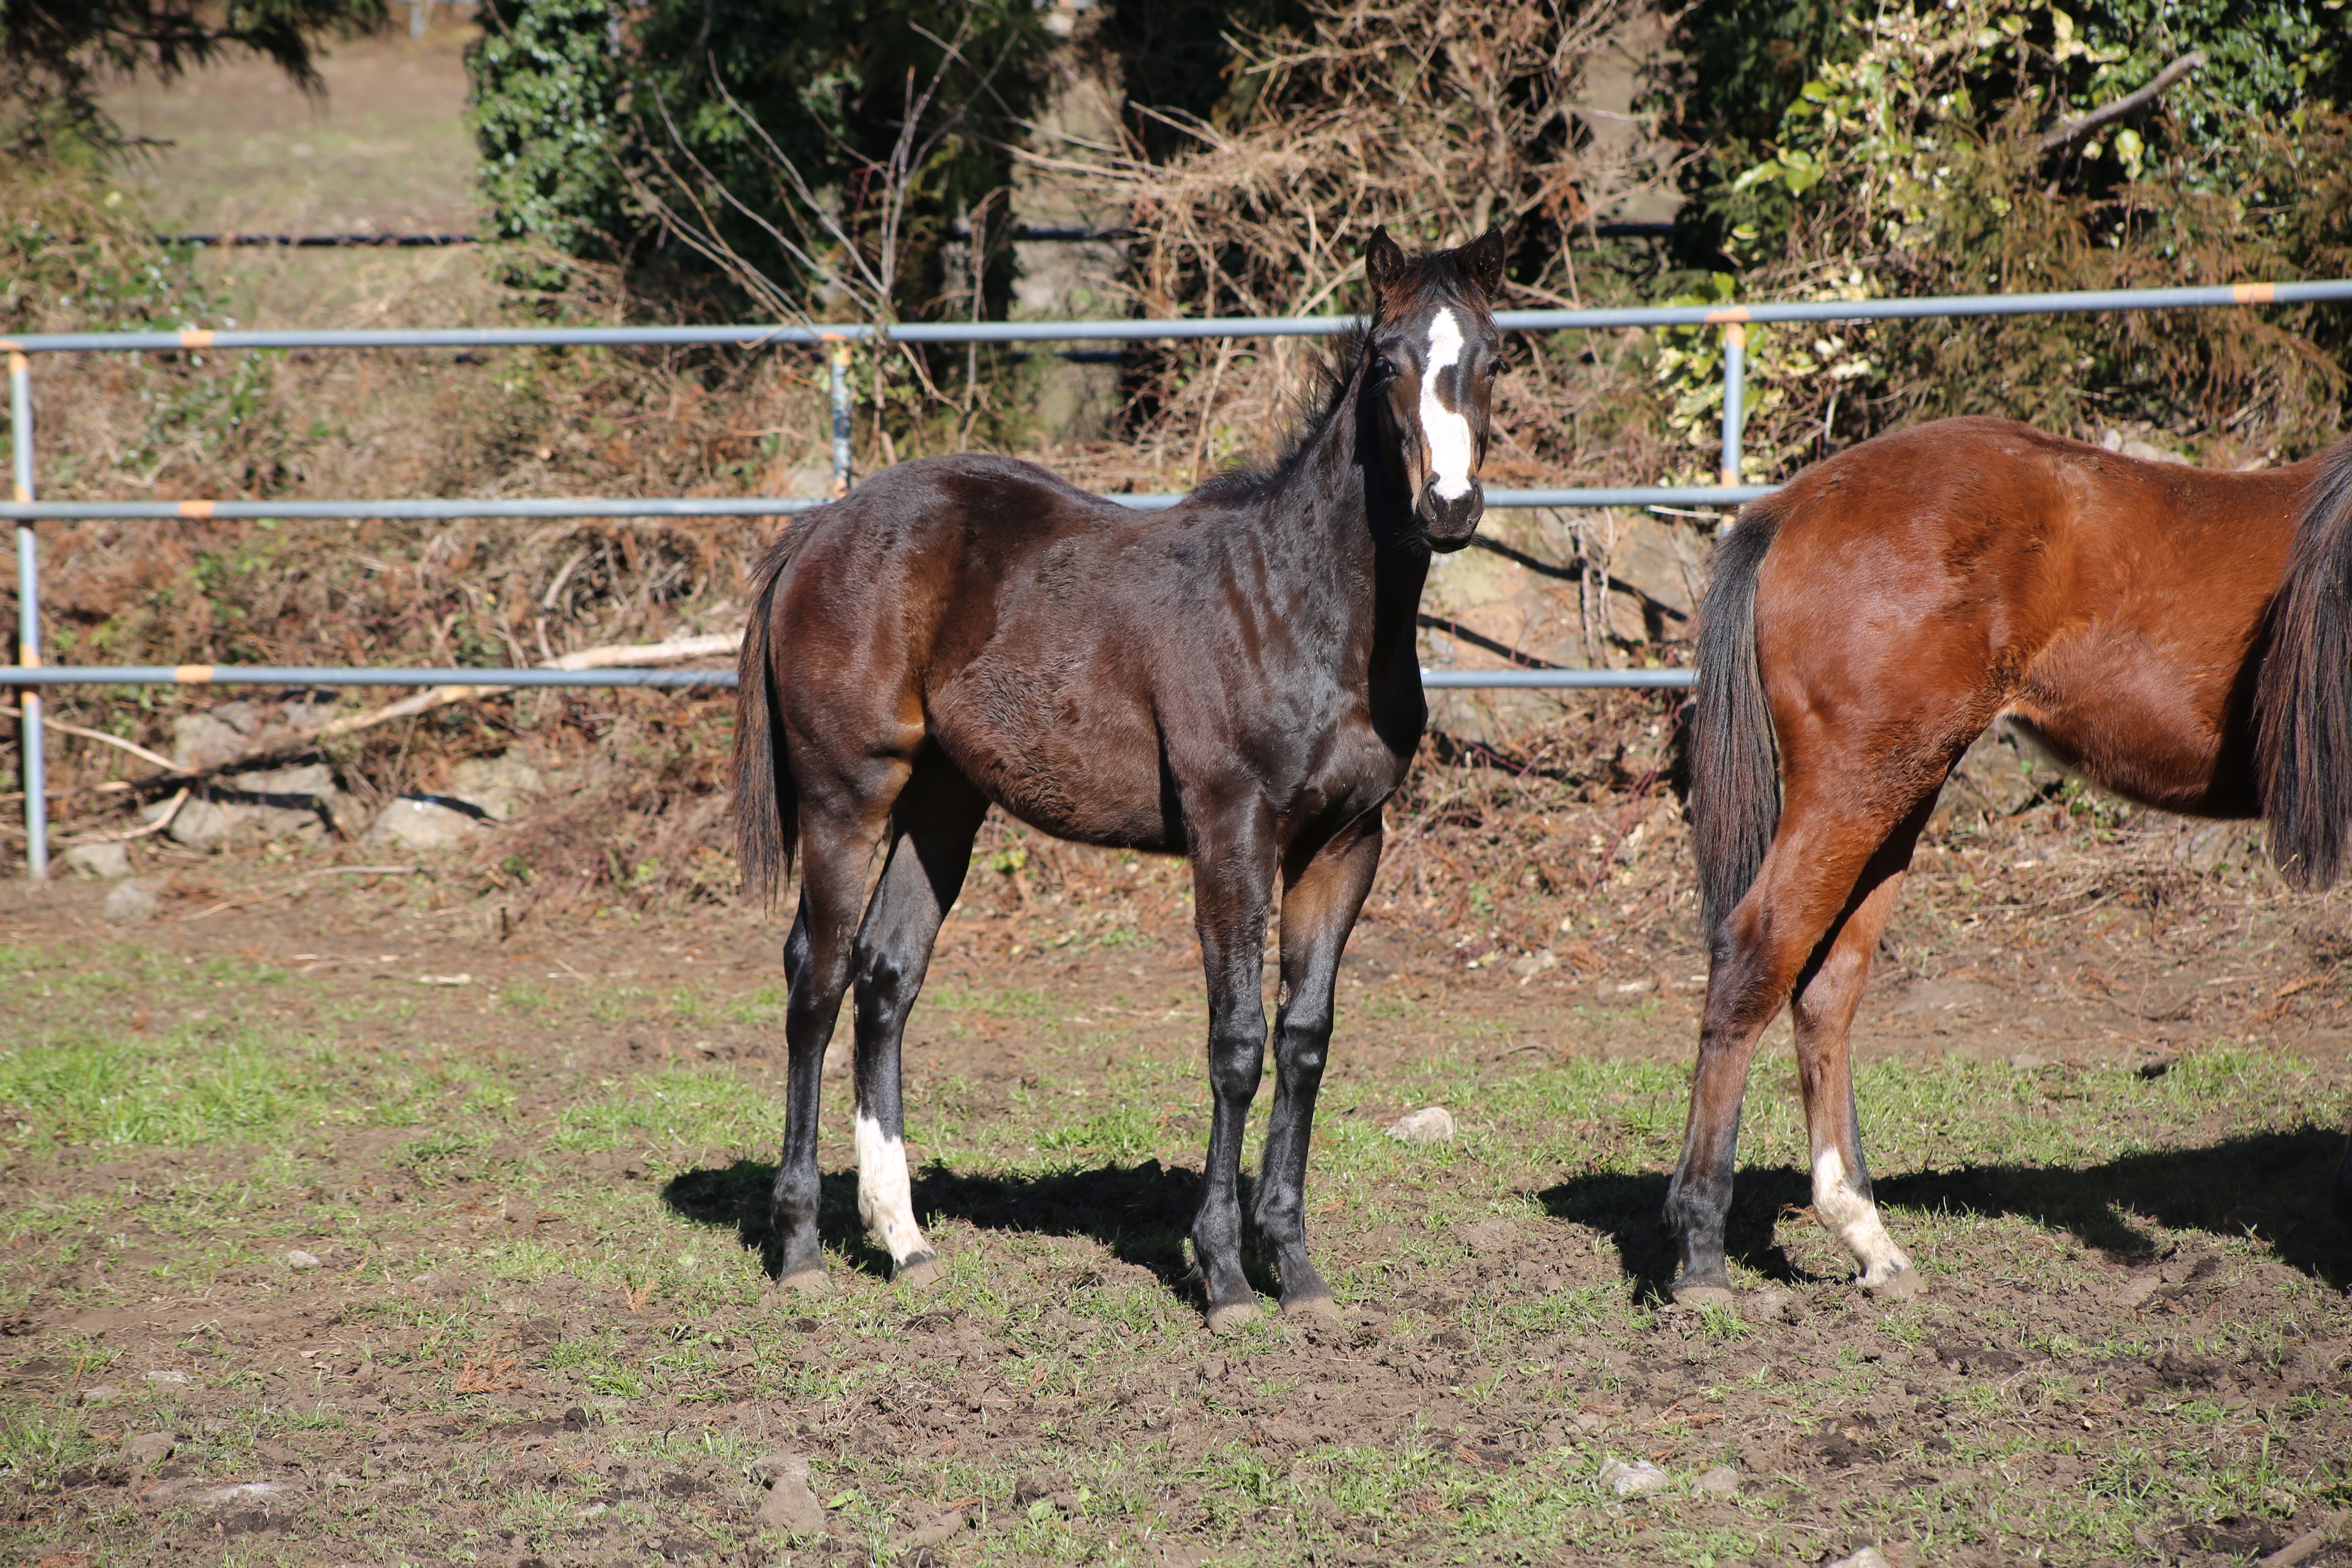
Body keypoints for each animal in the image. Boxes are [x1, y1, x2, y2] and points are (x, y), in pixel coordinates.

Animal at [734, 227, 1505, 1335]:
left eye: (1493, 358)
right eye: (1387, 362)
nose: (1448, 507)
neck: (1306, 608)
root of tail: (819, 527)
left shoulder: (1345, 843)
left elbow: (1304, 1039)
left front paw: (1298, 1271)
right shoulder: (1232, 832)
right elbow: (1236, 1043)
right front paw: (1225, 1277)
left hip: (943, 804)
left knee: (887, 974)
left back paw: (906, 1241)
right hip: (851, 797)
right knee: (819, 977)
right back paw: (799, 1248)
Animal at [1665, 414, 2352, 1297]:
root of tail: (1798, 500)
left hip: (1898, 791)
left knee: (1825, 990)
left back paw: (1867, 1238)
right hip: (1859, 784)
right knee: (1756, 956)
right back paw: (1702, 1256)